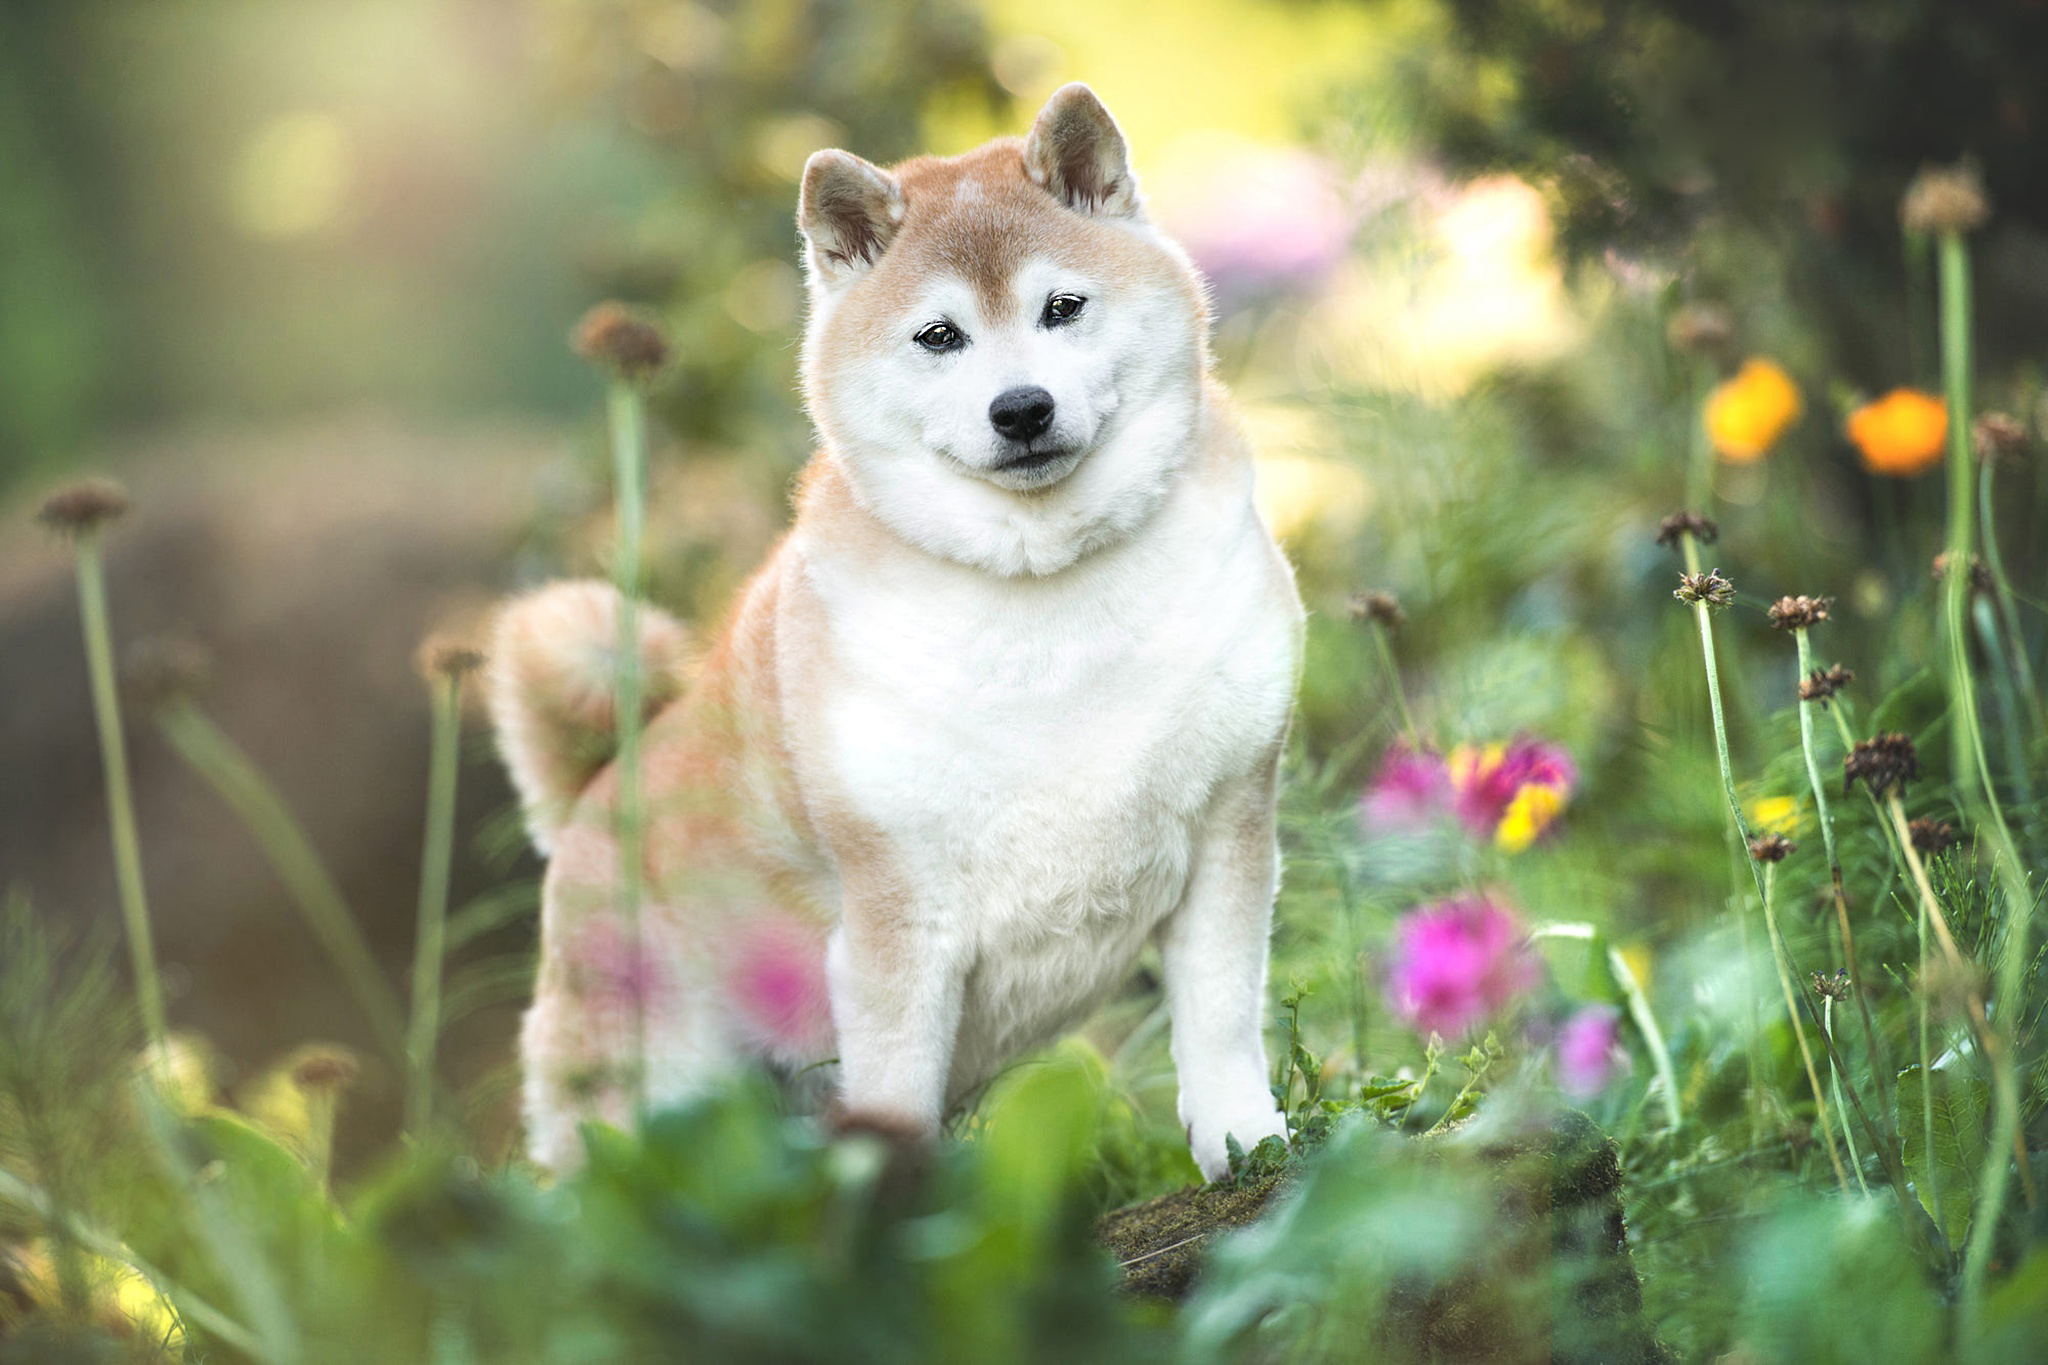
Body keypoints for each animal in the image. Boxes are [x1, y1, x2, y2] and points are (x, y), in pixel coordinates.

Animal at [487, 80, 1302, 1178]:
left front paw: (1246, 1144)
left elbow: (1217, 1023)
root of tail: (597, 787)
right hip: (647, 1088)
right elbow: (894, 1098)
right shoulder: (896, 917)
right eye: (938, 336)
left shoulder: (1228, 829)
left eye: (1062, 307)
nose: (1020, 408)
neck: (1043, 593)